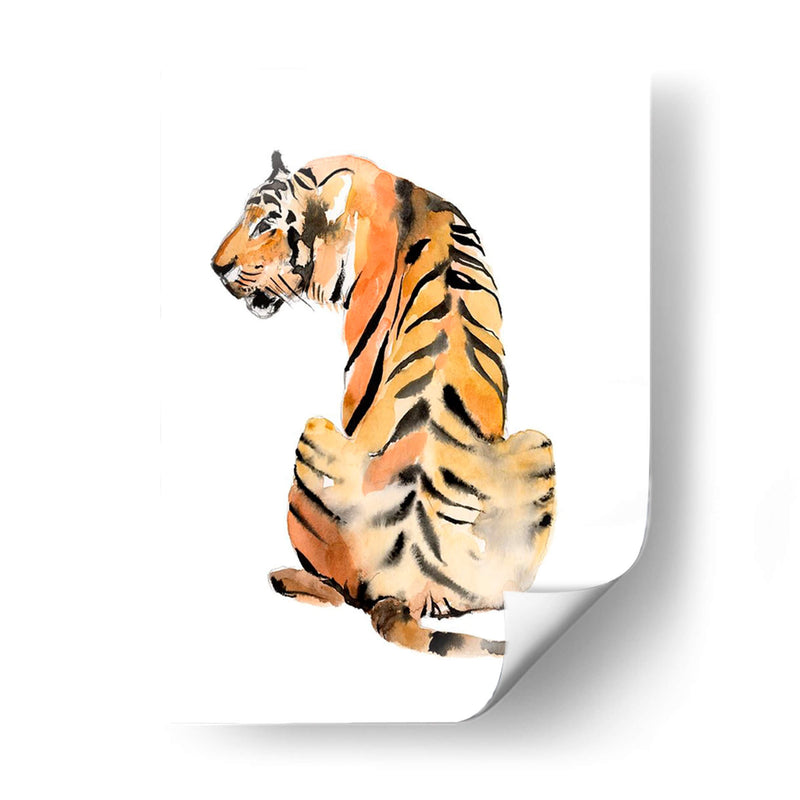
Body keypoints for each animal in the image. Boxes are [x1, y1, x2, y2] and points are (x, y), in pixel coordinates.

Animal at [211, 152, 555, 657]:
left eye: (266, 224)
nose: (215, 267)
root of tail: (406, 582)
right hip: (536, 451)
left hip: (313, 434)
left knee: (340, 593)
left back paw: (285, 578)